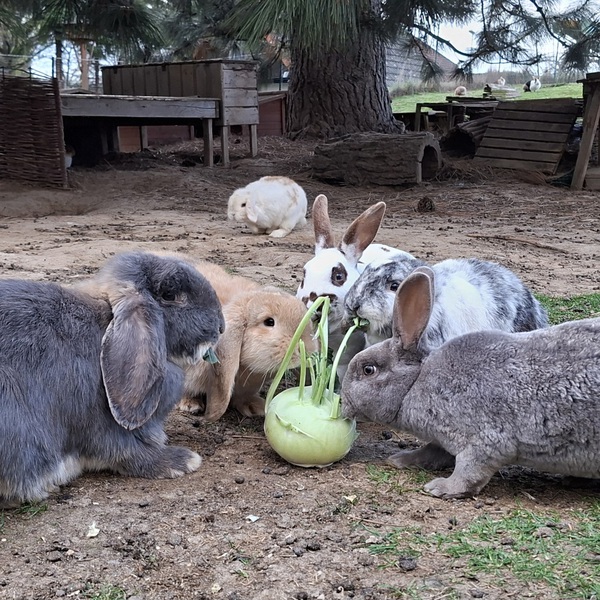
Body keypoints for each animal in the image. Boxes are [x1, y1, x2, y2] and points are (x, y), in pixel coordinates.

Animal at [341, 266, 600, 499]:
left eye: (368, 370)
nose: (343, 405)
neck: (415, 382)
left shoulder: (484, 440)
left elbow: (470, 471)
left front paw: (441, 488)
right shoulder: (443, 439)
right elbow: (432, 452)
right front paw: (401, 460)